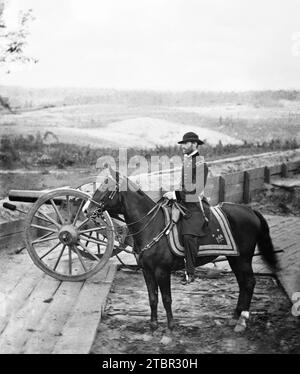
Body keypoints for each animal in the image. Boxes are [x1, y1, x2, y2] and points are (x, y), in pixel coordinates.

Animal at [84, 171, 278, 332]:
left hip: (243, 259)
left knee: (249, 283)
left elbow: (166, 298)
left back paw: (242, 320)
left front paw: (170, 325)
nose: (87, 210)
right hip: (235, 258)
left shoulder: (162, 271)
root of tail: (250, 210)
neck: (152, 226)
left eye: (106, 189)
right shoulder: (146, 270)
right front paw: (153, 325)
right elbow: (152, 297)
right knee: (243, 284)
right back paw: (235, 317)